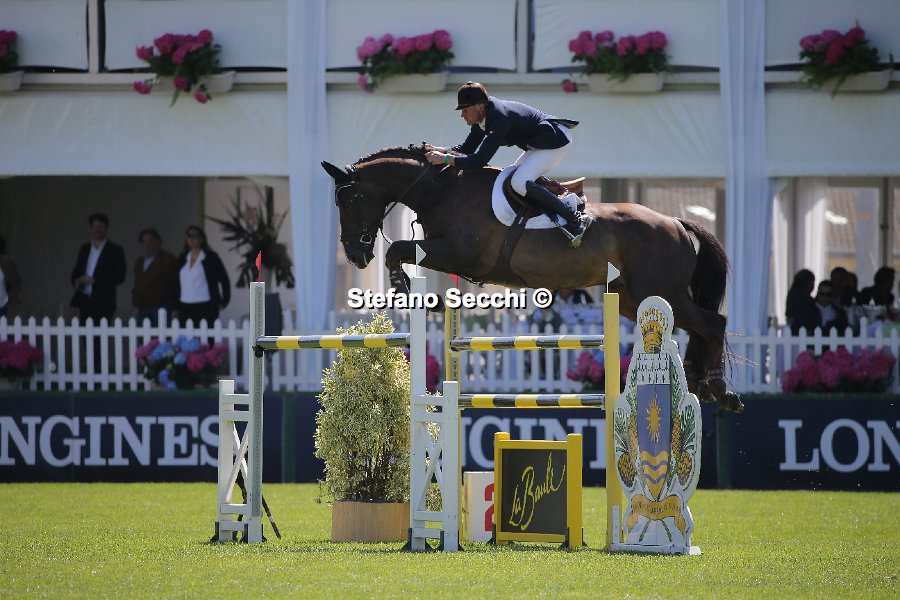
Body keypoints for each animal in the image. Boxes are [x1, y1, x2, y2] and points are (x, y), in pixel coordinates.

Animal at [321, 146, 742, 412]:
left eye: (349, 200)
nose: (355, 255)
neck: (441, 189)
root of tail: (676, 223)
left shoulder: (460, 253)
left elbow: (397, 249)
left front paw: (406, 290)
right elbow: (401, 250)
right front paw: (421, 296)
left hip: (658, 291)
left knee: (712, 322)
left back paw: (720, 388)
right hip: (632, 298)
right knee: (696, 327)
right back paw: (698, 382)